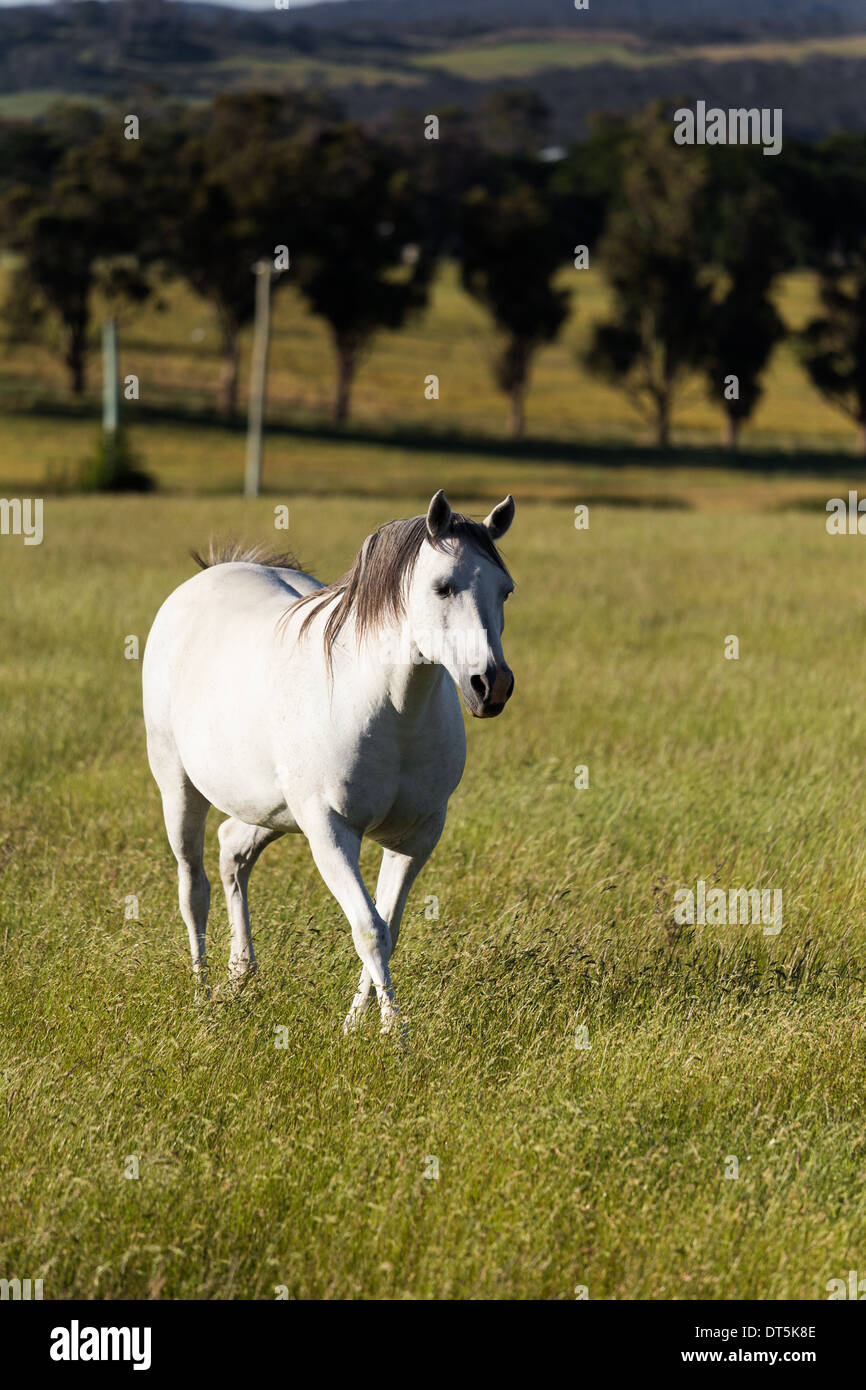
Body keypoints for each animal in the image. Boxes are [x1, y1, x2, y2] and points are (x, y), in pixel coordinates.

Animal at [142, 489, 515, 1034]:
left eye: (505, 590)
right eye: (443, 587)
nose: (492, 685)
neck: (389, 709)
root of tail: (208, 576)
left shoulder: (417, 837)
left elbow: (389, 927)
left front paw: (358, 1024)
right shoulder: (330, 830)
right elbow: (369, 929)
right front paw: (393, 1033)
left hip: (274, 811)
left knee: (233, 850)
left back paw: (239, 976)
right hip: (179, 786)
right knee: (194, 887)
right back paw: (200, 996)